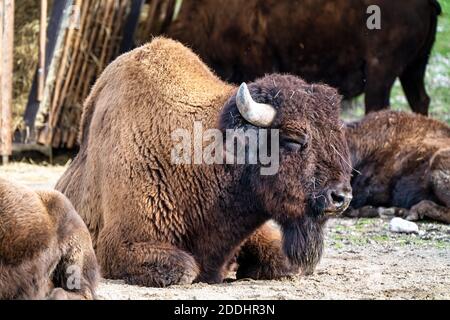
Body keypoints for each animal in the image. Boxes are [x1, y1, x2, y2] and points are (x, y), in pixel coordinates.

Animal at [55, 38, 352, 288]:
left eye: (338, 135)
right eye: (292, 138)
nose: (341, 197)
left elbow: (281, 261)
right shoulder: (121, 242)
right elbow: (184, 268)